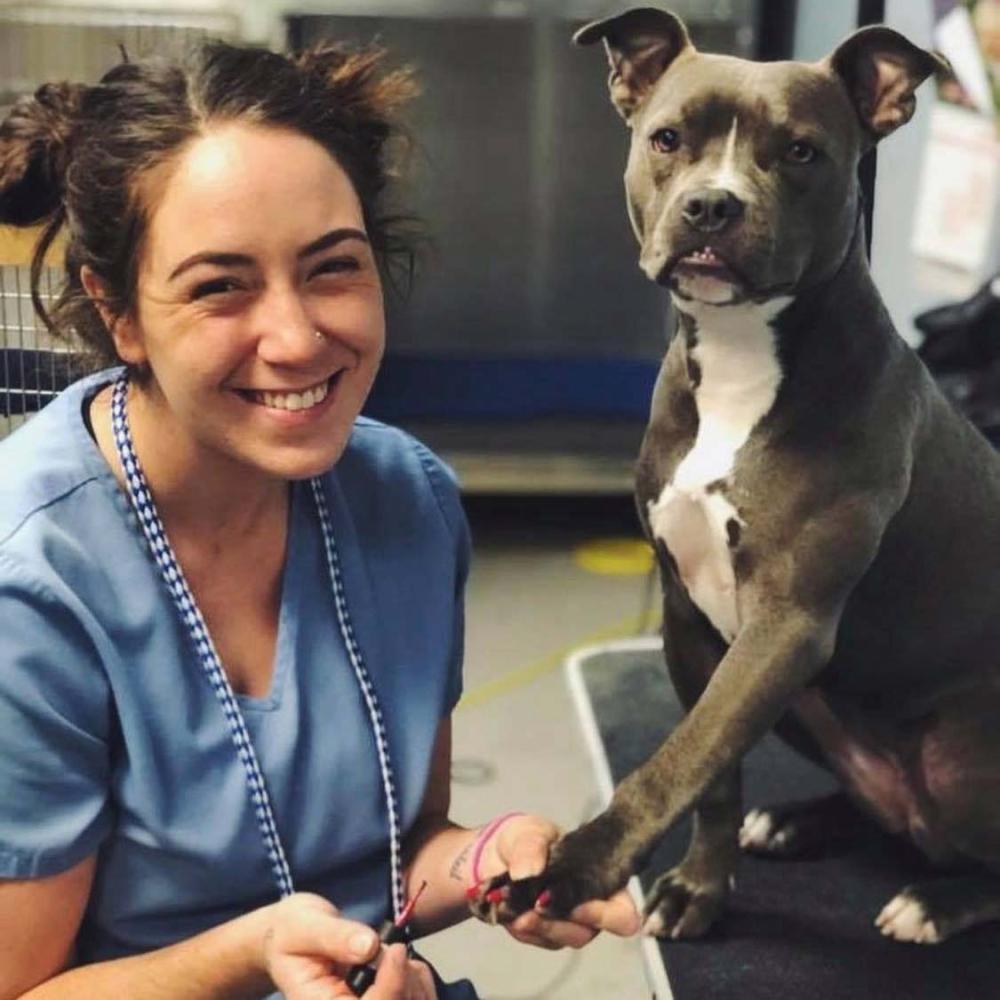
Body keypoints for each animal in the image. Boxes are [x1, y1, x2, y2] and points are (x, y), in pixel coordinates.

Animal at [488, 5, 1000, 944]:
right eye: (667, 138)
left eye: (801, 151)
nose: (710, 204)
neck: (739, 358)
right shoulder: (695, 621)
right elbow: (712, 774)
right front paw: (702, 887)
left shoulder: (785, 626)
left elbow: (676, 760)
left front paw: (579, 863)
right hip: (810, 702)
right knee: (885, 813)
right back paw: (798, 821)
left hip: (958, 756)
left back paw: (934, 903)